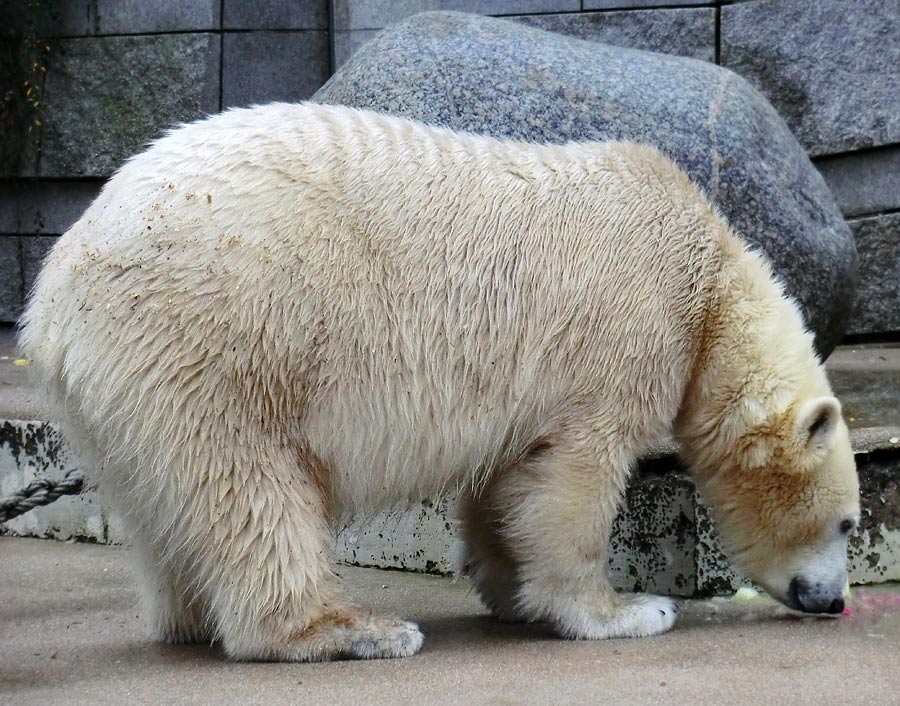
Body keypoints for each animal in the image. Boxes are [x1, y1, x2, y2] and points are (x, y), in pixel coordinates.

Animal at [21, 102, 860, 656]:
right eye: (848, 524)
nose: (831, 600)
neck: (709, 281)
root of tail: (54, 295)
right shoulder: (622, 328)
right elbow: (578, 475)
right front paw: (624, 612)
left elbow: (512, 479)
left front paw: (511, 590)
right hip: (219, 336)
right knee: (247, 485)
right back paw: (353, 630)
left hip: (131, 391)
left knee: (167, 506)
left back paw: (193, 617)